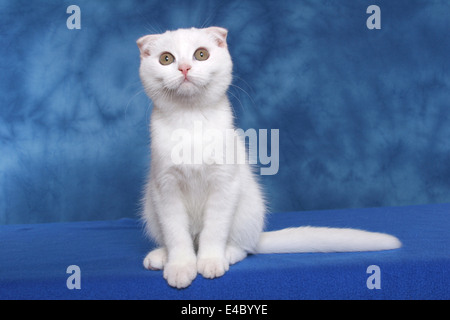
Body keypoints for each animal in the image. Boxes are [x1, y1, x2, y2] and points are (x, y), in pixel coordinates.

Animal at [136, 26, 400, 288]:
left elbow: (214, 231)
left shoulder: (225, 184)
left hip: (247, 208)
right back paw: (161, 256)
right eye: (166, 59)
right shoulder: (165, 188)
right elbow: (176, 234)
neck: (190, 121)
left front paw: (210, 261)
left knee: (244, 247)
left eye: (201, 54)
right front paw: (180, 266)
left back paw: (227, 253)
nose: (184, 68)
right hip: (151, 208)